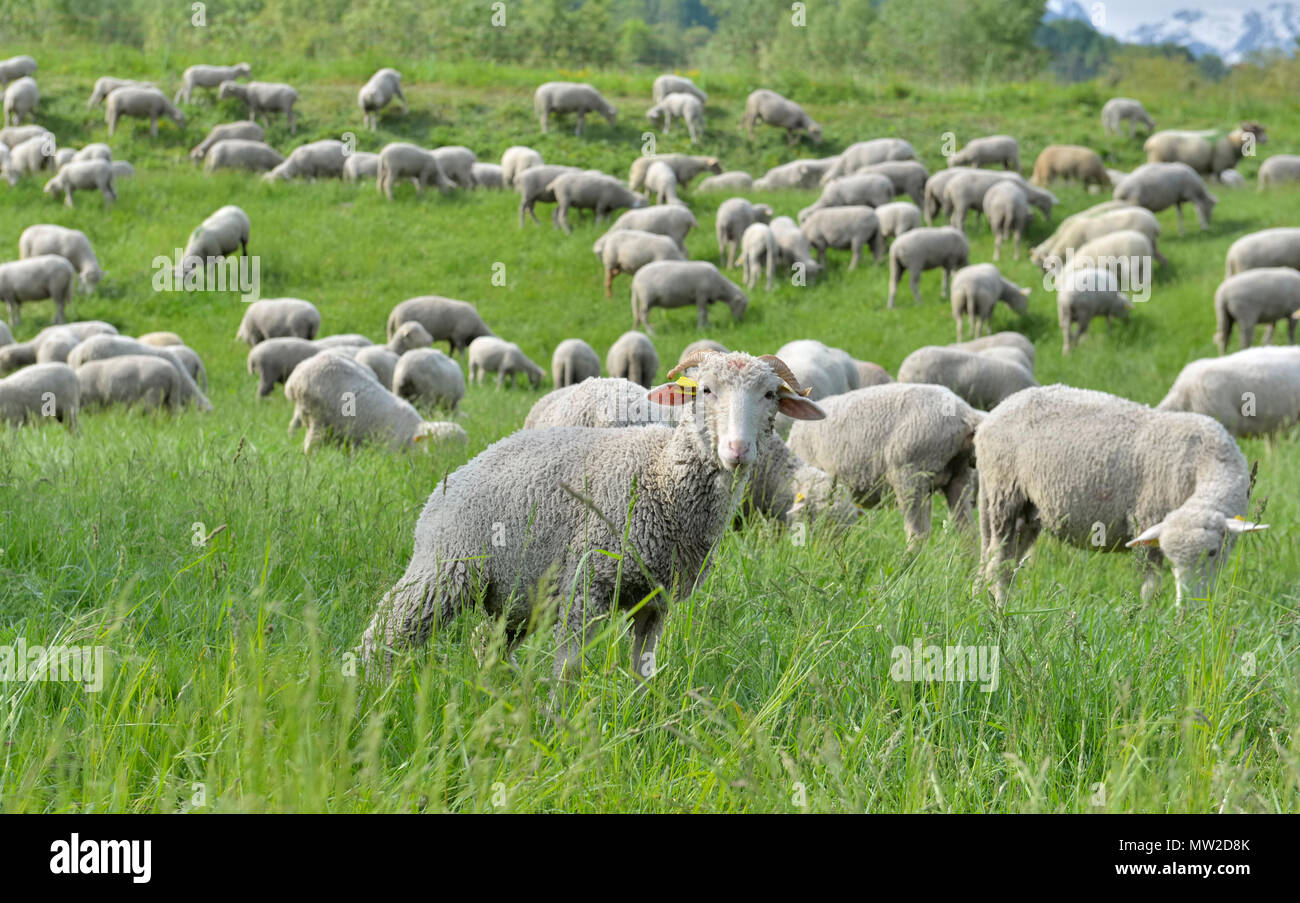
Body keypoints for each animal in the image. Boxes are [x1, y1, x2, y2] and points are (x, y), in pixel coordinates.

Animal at [285, 353, 465, 454]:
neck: (412, 431)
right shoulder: (391, 449)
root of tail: (297, 374)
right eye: (440, 446)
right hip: (318, 420)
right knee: (310, 447)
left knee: (294, 425)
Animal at [356, 349, 825, 676]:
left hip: (514, 596)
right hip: (444, 569)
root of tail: (453, 477)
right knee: (383, 636)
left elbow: (643, 672)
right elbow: (568, 669)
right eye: (706, 390)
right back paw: (368, 692)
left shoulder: (656, 600)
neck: (660, 477)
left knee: (483, 643)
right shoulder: (588, 582)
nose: (737, 450)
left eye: (770, 395)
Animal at [976, 384, 1267, 605]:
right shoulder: (1146, 520)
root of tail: (995, 414)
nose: (1188, 608)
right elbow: (1150, 586)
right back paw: (1001, 610)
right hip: (1004, 495)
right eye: (1174, 559)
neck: (1208, 457)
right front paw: (1147, 621)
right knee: (997, 564)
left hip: (1023, 511)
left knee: (1000, 561)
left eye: (1212, 552)